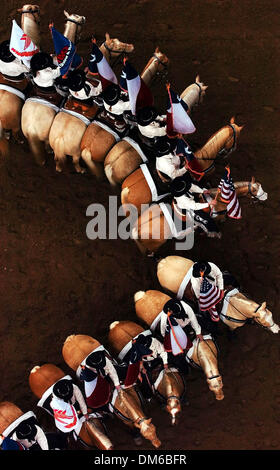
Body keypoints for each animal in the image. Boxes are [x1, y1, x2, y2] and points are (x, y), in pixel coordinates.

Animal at [48, 34, 135, 174]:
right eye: (117, 47)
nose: (131, 46)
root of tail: (60, 139)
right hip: (76, 153)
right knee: (75, 161)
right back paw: (81, 169)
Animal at [130, 177, 268, 258]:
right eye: (254, 190)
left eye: (261, 185)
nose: (266, 196)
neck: (218, 200)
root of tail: (138, 228)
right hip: (155, 246)